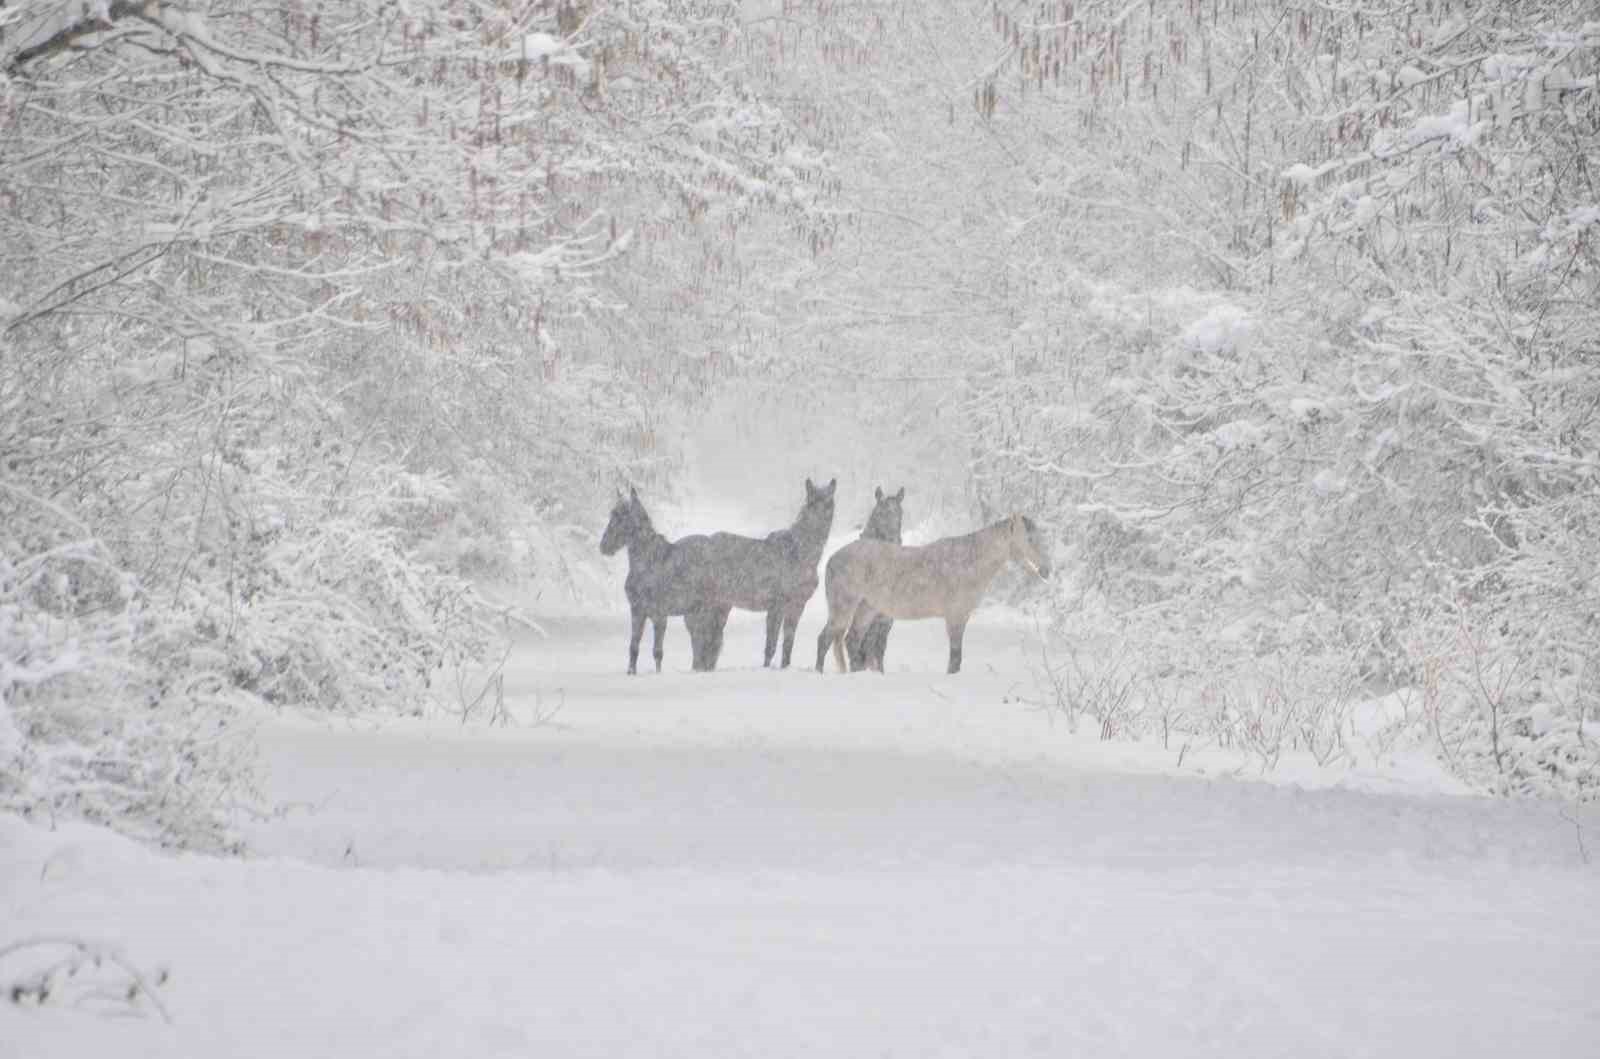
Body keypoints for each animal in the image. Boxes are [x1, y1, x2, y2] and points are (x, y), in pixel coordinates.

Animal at [812, 515, 1049, 681]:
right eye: (1029, 539)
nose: (1046, 570)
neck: (968, 561)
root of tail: (833, 558)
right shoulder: (955, 618)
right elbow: (955, 658)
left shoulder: (961, 617)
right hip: (843, 608)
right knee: (825, 639)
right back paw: (818, 673)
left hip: (866, 608)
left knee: (852, 641)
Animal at [844, 486, 908, 671]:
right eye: (881, 513)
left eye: (900, 514)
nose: (894, 541)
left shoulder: (886, 619)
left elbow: (878, 650)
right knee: (853, 641)